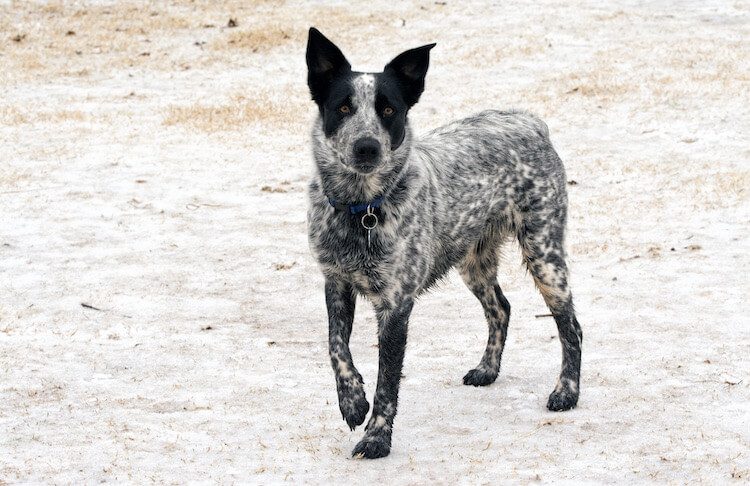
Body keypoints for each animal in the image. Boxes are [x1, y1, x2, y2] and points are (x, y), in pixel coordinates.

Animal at [304, 27, 580, 460]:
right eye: (343, 107)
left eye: (389, 110)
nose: (366, 147)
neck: (361, 208)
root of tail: (530, 121)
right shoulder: (335, 280)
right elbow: (336, 347)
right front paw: (352, 402)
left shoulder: (396, 304)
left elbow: (388, 383)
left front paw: (376, 437)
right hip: (473, 260)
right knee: (500, 308)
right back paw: (487, 370)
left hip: (544, 255)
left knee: (571, 327)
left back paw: (566, 392)